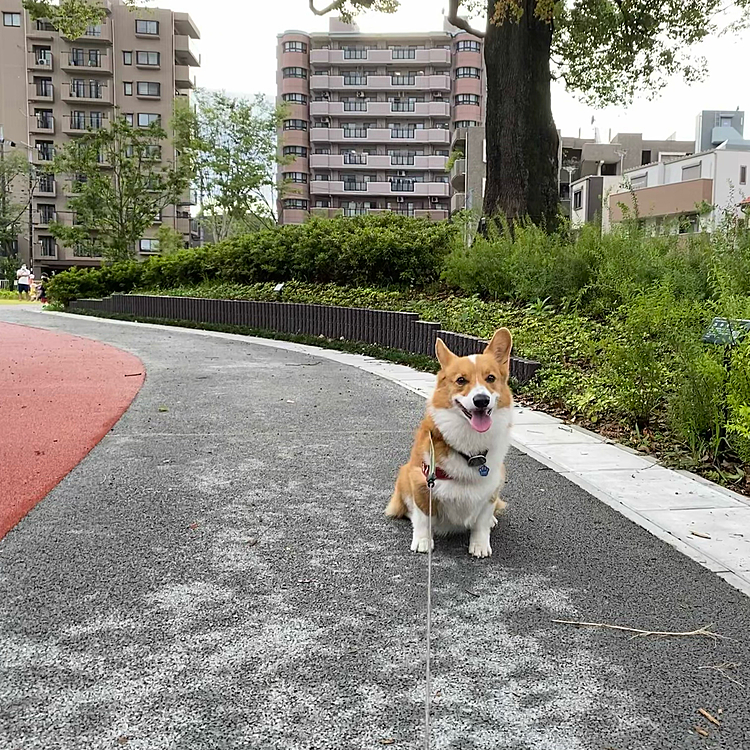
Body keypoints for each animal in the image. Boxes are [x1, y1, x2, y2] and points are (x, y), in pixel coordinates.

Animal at [388, 328, 516, 560]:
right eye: (461, 380)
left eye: (490, 378)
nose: (481, 400)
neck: (470, 447)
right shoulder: (421, 480)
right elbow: (423, 518)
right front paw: (423, 542)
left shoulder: (492, 483)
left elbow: (482, 521)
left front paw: (480, 544)